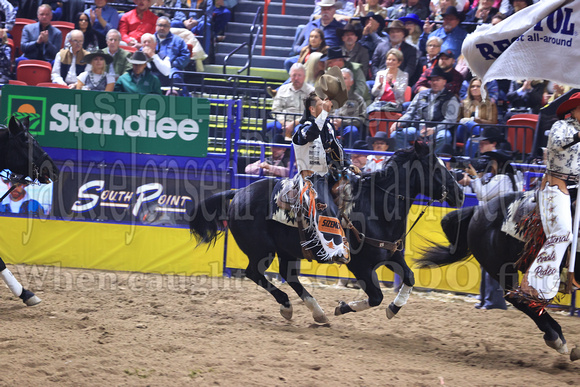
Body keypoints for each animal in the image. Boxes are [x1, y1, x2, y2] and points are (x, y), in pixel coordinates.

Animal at [189, 142, 462, 324]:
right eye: (436, 168)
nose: (459, 192)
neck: (375, 206)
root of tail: (238, 192)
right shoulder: (360, 265)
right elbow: (375, 296)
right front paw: (343, 307)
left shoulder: (392, 254)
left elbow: (409, 278)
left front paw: (394, 308)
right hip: (261, 251)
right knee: (254, 273)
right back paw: (288, 305)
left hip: (288, 250)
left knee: (289, 276)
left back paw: (316, 312)